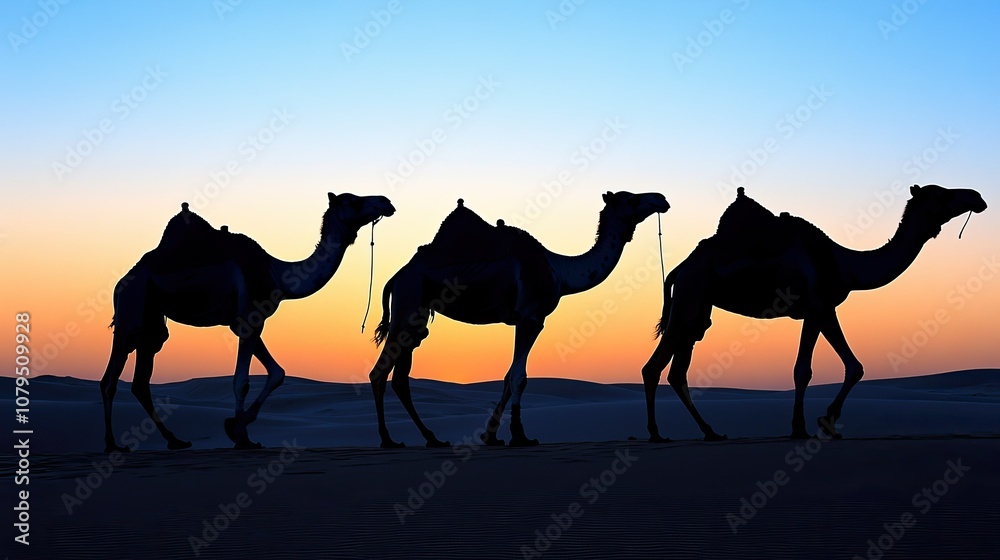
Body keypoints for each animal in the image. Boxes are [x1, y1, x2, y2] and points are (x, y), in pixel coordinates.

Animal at [101, 192, 394, 450]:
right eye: (354, 201)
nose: (386, 201)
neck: (279, 274)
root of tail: (120, 282)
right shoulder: (249, 320)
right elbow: (241, 380)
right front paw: (240, 436)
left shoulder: (249, 321)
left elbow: (277, 373)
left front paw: (238, 428)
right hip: (131, 311)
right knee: (110, 379)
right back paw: (113, 444)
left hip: (152, 324)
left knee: (140, 381)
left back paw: (176, 441)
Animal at [368, 190, 664, 448]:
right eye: (630, 198)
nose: (661, 198)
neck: (560, 271)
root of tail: (396, 277)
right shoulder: (530, 318)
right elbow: (519, 377)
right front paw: (520, 436)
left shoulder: (527, 320)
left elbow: (509, 375)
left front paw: (491, 436)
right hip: (408, 302)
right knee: (379, 372)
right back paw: (388, 440)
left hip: (415, 317)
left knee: (400, 378)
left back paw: (432, 439)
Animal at [640, 184, 984, 442]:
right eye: (941, 193)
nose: (977, 197)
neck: (845, 265)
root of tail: (680, 268)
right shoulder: (821, 306)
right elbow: (828, 368)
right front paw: (818, 423)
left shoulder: (816, 311)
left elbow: (825, 368)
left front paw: (812, 425)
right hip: (690, 295)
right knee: (654, 367)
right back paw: (656, 434)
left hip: (698, 308)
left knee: (677, 370)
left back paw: (710, 431)